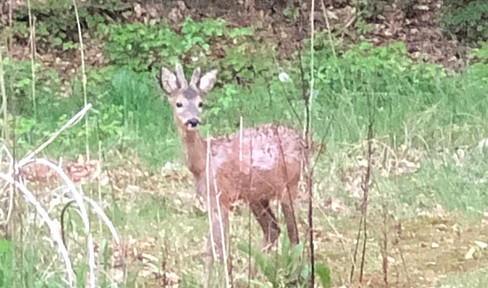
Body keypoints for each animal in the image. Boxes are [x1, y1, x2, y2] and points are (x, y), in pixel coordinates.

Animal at [160, 64, 304, 262]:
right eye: (178, 103)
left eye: (200, 103)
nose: (193, 121)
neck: (203, 161)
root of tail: (301, 141)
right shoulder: (211, 198)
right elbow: (214, 243)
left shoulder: (222, 194)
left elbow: (219, 243)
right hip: (256, 196)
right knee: (273, 228)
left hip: (290, 184)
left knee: (294, 232)